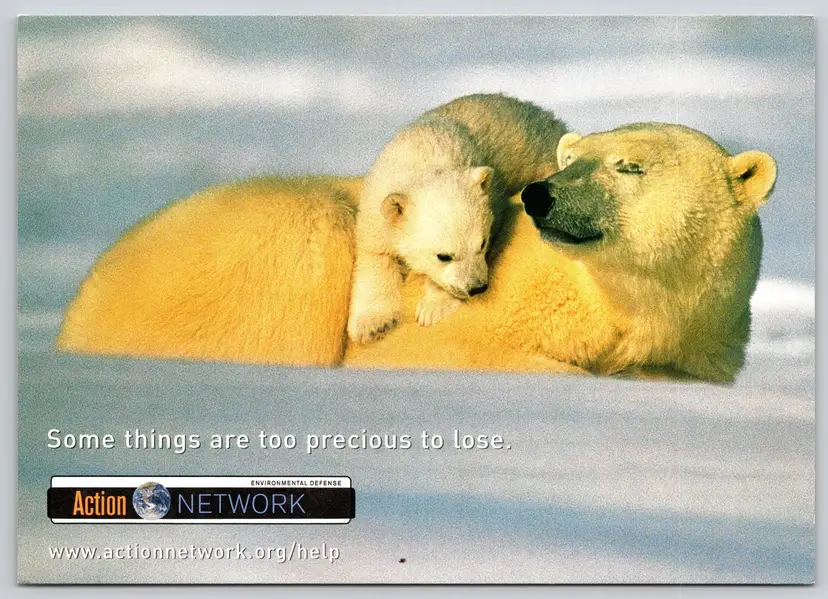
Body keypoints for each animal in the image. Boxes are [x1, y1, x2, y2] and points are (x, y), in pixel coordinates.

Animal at [347, 93, 566, 343]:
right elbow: (374, 255)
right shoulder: (377, 207)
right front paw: (372, 325)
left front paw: (432, 309)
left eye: (482, 243)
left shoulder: (494, 196)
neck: (424, 156)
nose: (477, 287)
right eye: (443, 256)